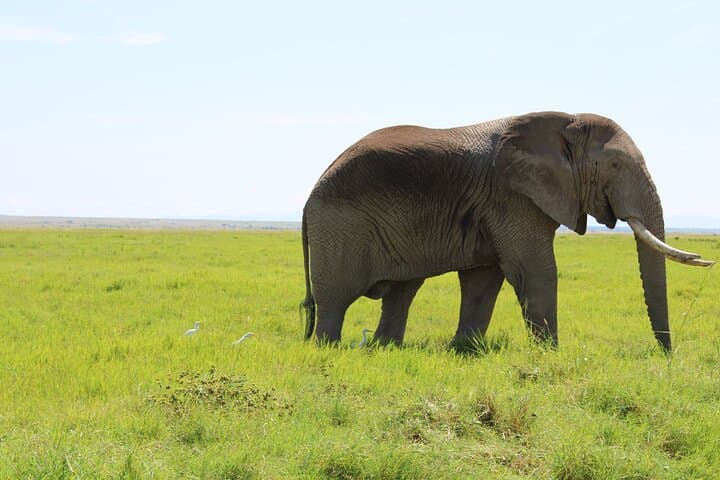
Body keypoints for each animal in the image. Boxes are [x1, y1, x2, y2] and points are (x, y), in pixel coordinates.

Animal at [299, 111, 713, 352]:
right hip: (340, 228)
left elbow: (484, 279)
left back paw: (386, 350)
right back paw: (328, 350)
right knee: (335, 298)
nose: (666, 357)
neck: (564, 124)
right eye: (614, 164)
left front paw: (464, 352)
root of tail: (309, 196)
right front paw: (550, 356)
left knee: (402, 290)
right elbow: (536, 271)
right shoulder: (513, 196)